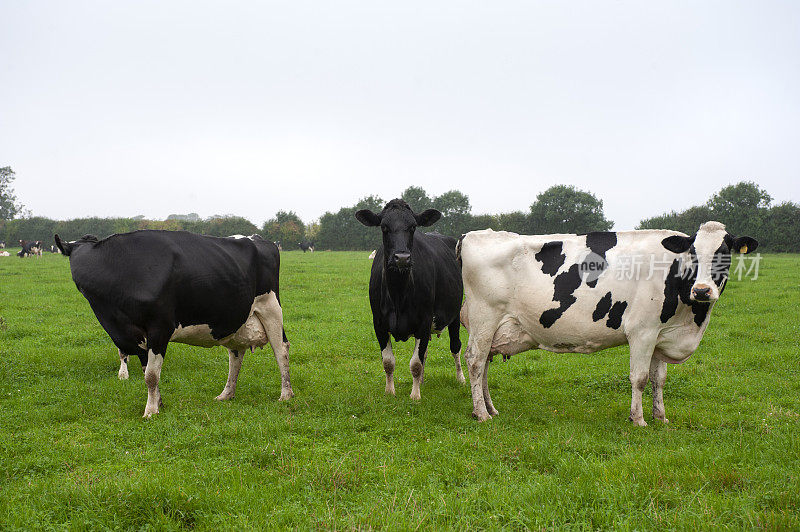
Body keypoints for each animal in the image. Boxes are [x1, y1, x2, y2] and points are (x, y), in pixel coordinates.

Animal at [55, 231, 294, 418]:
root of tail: (260, 239)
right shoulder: (133, 335)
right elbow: (146, 372)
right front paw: (158, 403)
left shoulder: (159, 328)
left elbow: (151, 375)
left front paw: (150, 411)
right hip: (235, 321)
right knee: (235, 356)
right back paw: (226, 394)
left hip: (271, 307)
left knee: (280, 349)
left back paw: (286, 394)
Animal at [354, 200, 466, 400]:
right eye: (384, 227)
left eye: (413, 227)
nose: (402, 258)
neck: (398, 295)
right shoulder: (379, 323)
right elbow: (388, 362)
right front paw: (390, 391)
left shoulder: (424, 321)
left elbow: (415, 363)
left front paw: (415, 396)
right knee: (426, 352)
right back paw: (421, 381)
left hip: (455, 314)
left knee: (455, 347)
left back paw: (460, 378)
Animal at [460, 220, 760, 424]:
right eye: (693, 254)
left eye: (725, 254)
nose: (702, 291)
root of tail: (471, 234)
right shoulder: (642, 331)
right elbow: (639, 378)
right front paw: (638, 419)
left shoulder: (660, 334)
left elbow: (659, 379)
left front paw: (661, 417)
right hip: (484, 318)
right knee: (475, 360)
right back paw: (481, 413)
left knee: (484, 364)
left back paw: (490, 408)